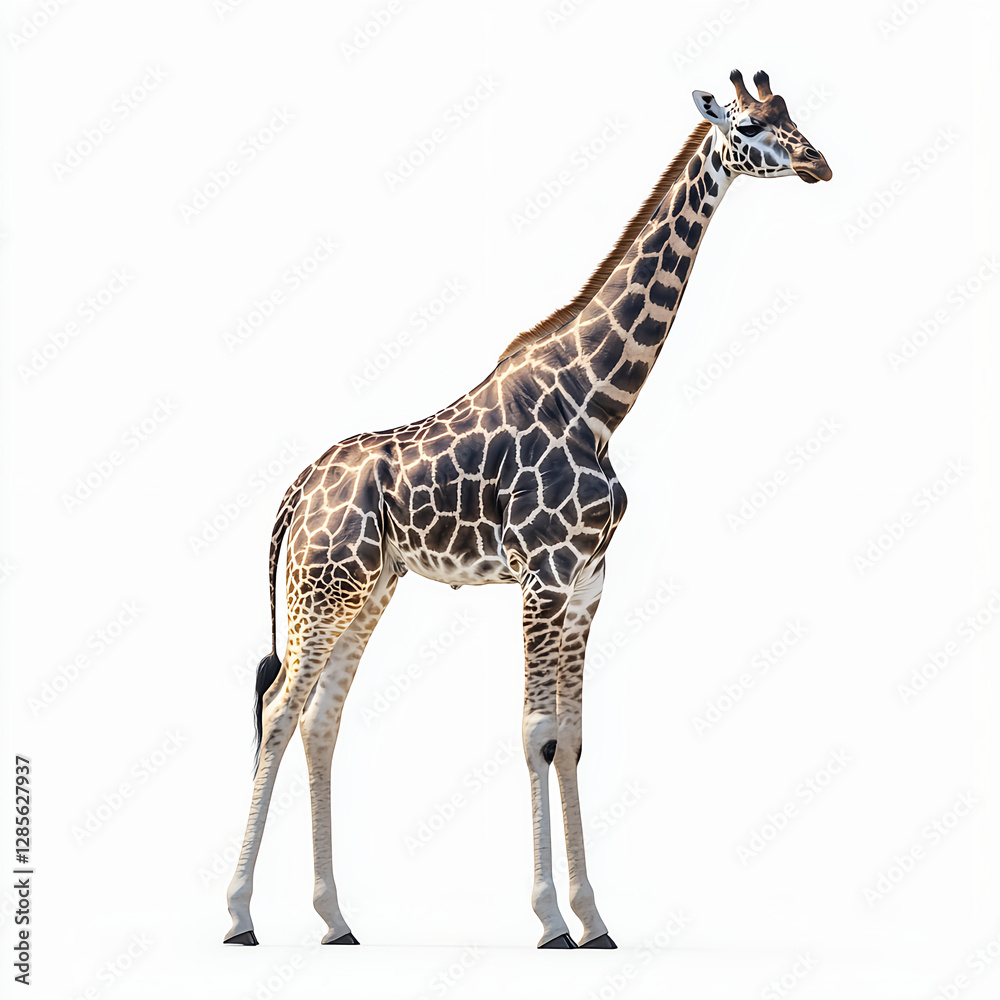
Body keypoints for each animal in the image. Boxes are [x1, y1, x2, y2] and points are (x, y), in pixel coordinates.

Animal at [224, 69, 832, 950]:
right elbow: (536, 733)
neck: (599, 401)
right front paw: (550, 921)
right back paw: (238, 914)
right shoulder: (544, 576)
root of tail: (297, 490)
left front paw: (594, 920)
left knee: (321, 717)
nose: (820, 163)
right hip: (322, 587)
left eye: (795, 116)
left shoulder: (588, 583)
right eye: (750, 126)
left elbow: (571, 738)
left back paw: (335, 919)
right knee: (277, 708)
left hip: (366, 589)